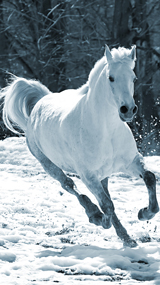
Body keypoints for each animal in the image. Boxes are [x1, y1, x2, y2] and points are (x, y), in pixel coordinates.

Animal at [0, 45, 159, 245]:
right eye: (111, 77)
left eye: (134, 78)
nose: (128, 110)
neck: (107, 131)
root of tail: (41, 102)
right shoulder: (88, 175)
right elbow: (107, 205)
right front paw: (100, 220)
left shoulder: (131, 162)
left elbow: (149, 178)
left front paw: (144, 213)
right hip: (49, 165)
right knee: (69, 185)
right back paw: (94, 214)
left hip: (103, 173)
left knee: (104, 193)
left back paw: (126, 237)